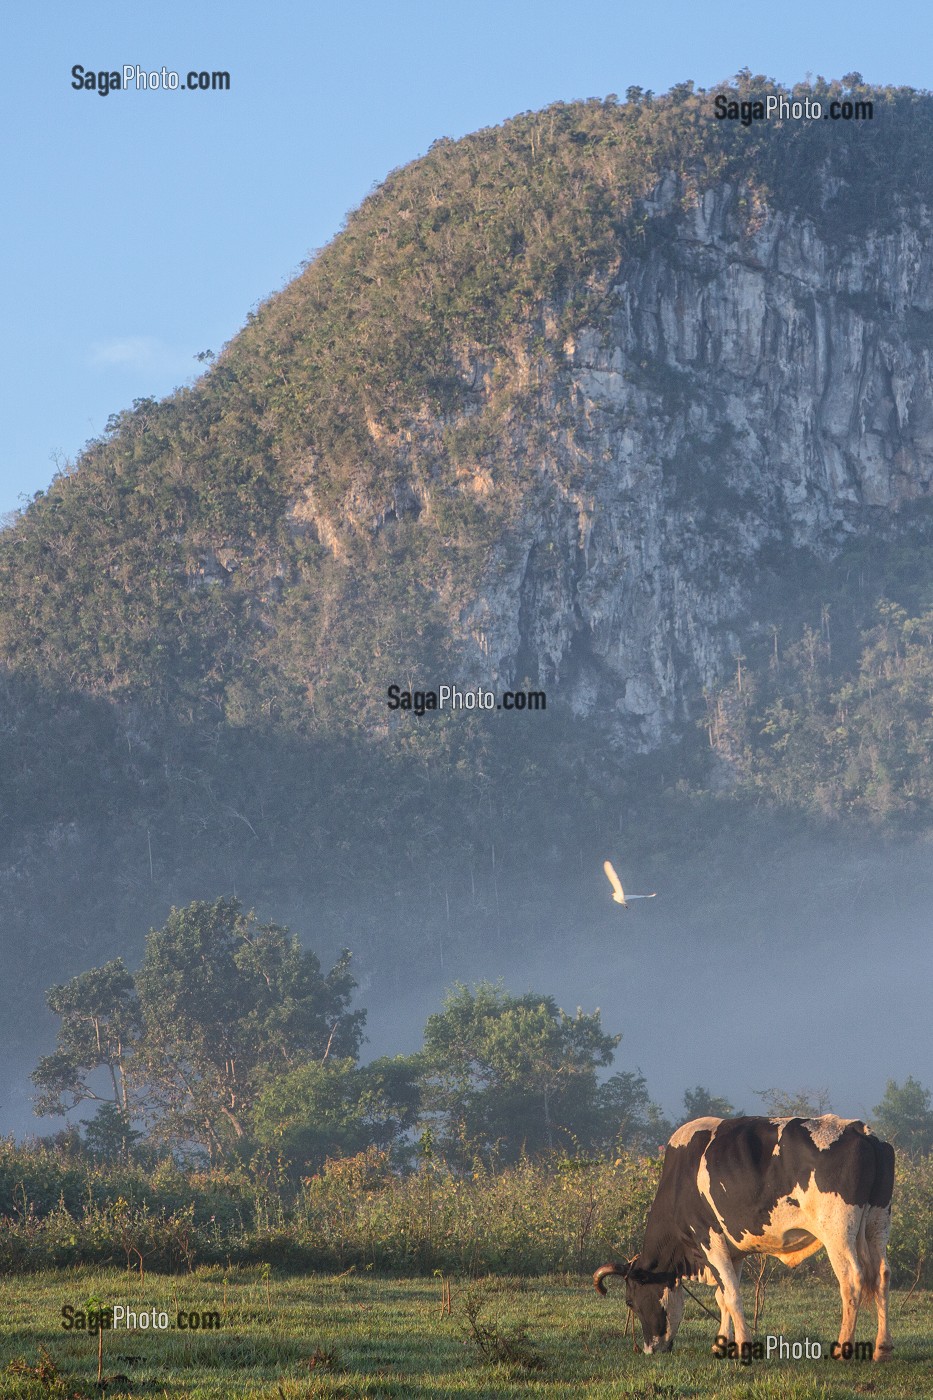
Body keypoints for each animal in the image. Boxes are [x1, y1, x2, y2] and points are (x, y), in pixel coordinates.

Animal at [594, 1115, 894, 1361]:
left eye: (630, 1301)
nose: (649, 1349)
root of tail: (860, 1130)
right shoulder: (733, 1252)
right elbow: (723, 1296)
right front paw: (722, 1343)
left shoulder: (709, 1239)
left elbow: (732, 1294)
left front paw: (743, 1345)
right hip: (877, 1225)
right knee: (882, 1275)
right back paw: (882, 1349)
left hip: (838, 1231)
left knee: (851, 1280)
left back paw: (843, 1349)